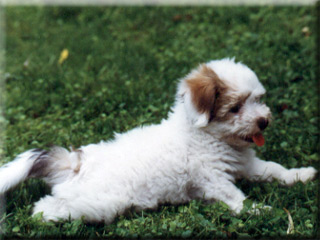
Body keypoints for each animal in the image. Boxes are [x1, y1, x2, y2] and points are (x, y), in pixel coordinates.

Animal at [0, 58, 316, 223]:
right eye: (235, 108)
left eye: (258, 100)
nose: (263, 121)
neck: (205, 135)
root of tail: (76, 163)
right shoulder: (211, 178)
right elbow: (234, 196)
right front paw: (260, 211)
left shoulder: (245, 166)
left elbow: (273, 169)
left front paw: (298, 175)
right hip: (100, 201)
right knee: (55, 205)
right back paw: (46, 213)